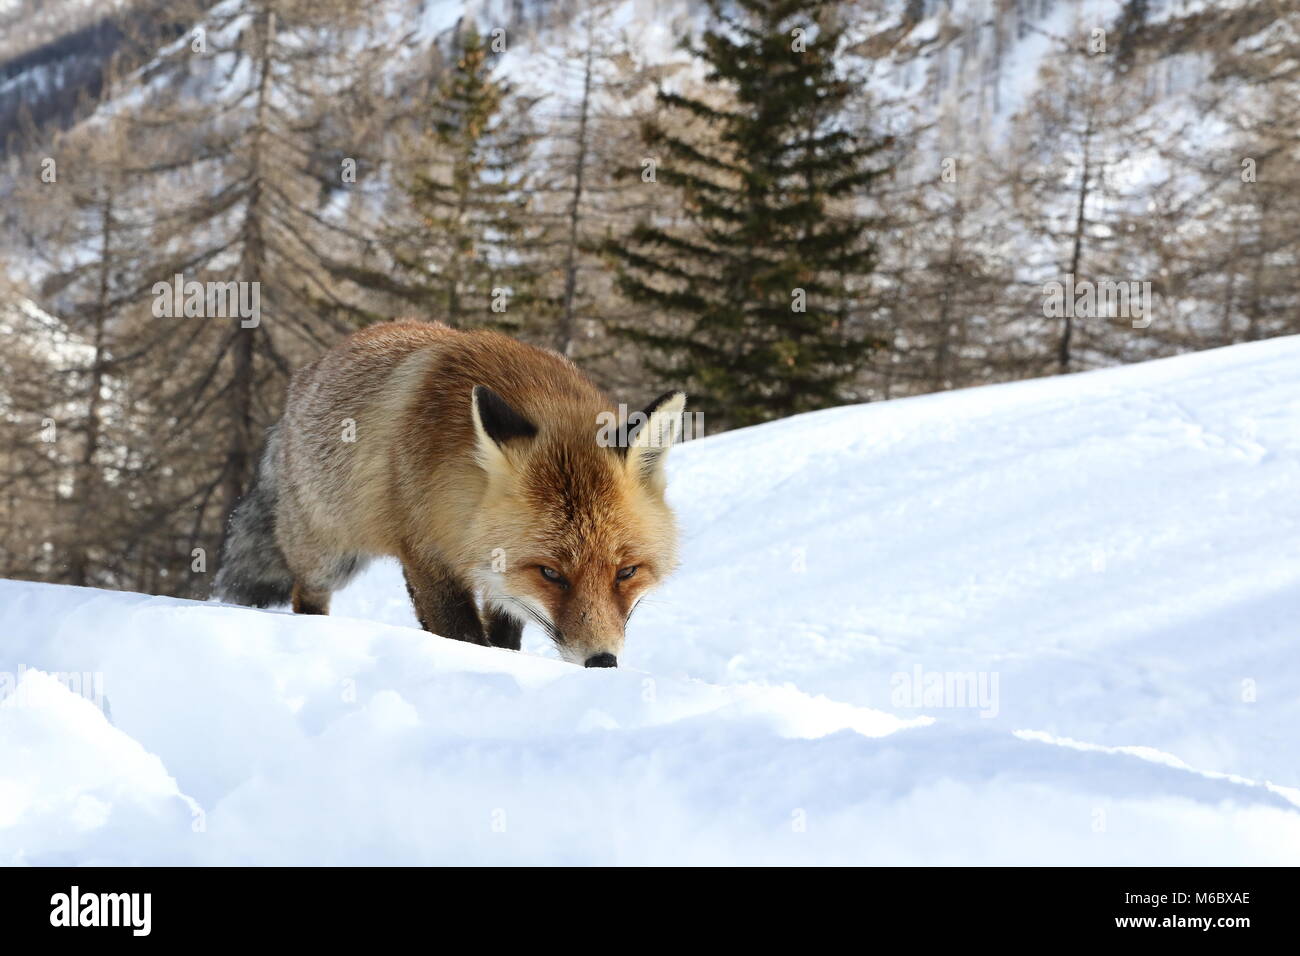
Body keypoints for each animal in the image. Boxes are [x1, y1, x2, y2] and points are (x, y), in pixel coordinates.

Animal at [210, 321, 691, 665]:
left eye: (627, 572)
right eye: (550, 573)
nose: (602, 661)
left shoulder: (498, 576)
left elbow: (503, 634)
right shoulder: (425, 555)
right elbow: (462, 635)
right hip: (329, 558)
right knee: (306, 595)